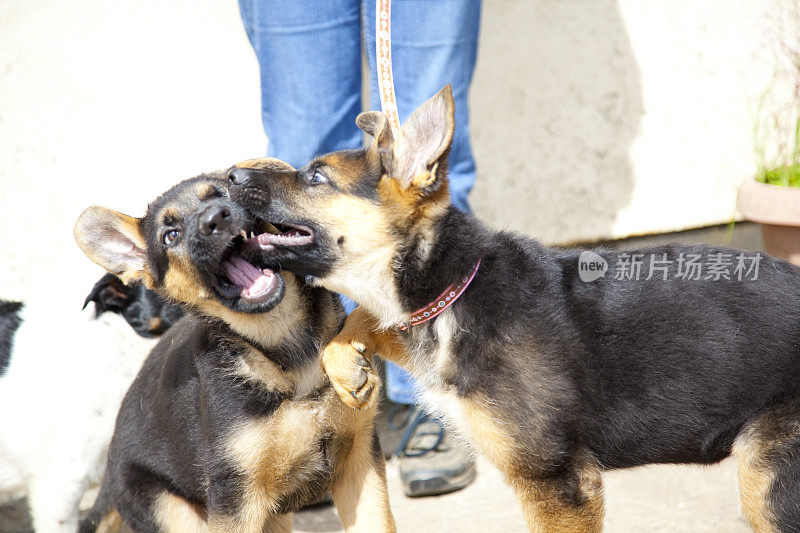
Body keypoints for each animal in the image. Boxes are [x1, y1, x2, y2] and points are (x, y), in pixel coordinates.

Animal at [73, 175, 392, 532]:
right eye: (170, 235)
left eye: (222, 193)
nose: (216, 219)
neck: (287, 348)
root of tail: (110, 467)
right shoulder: (235, 495)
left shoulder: (360, 459)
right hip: (173, 512)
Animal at [228, 88, 800, 532]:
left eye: (316, 178)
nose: (231, 174)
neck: (456, 290)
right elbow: (368, 317)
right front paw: (345, 361)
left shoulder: (556, 479)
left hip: (768, 478)